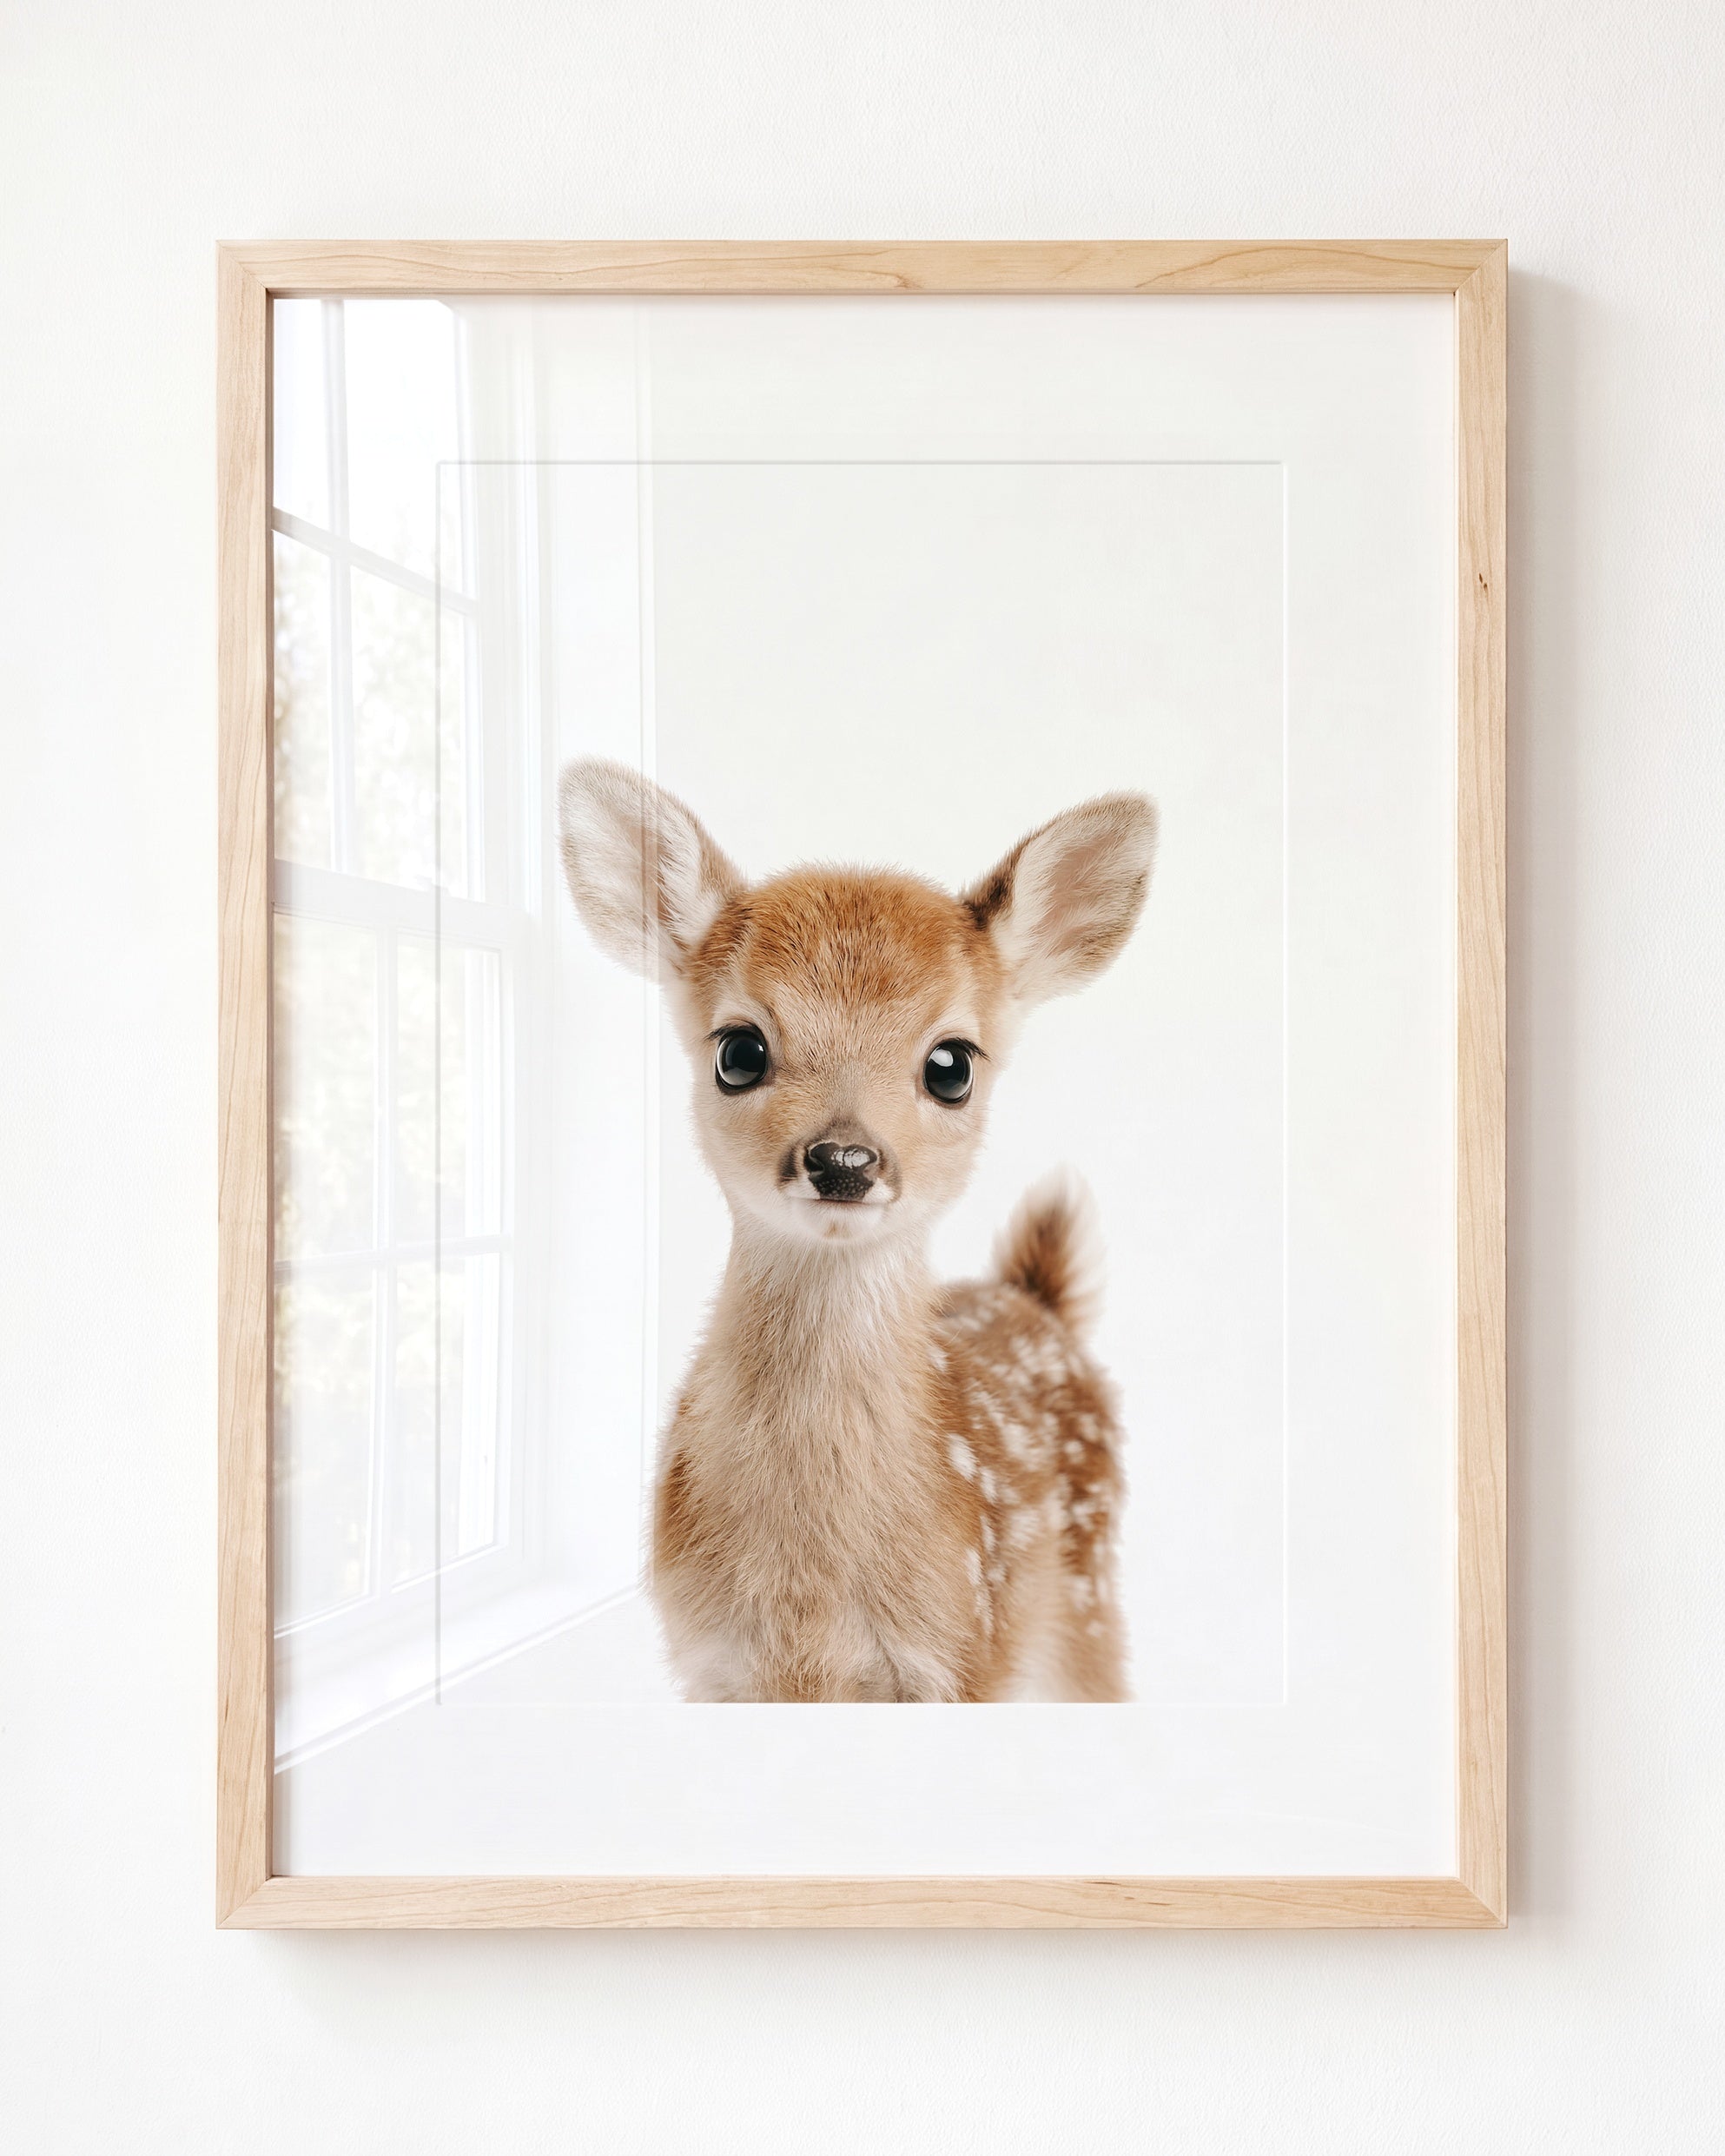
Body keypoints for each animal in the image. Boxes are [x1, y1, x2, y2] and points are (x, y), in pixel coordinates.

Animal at [558, 759, 1157, 1702]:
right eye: (738, 1051)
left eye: (952, 1065)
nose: (843, 1158)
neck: (811, 1603)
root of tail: (1038, 1300)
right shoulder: (711, 1663)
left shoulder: (962, 1652)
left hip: (1086, 1602)